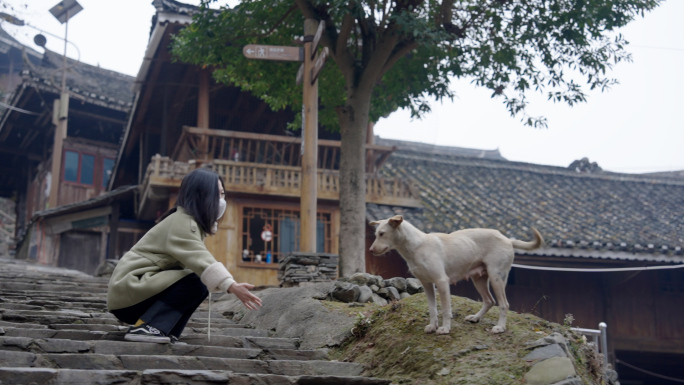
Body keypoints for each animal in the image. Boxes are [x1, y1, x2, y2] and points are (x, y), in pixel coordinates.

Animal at [372, 214, 544, 334]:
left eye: (382, 233)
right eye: (376, 234)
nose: (371, 250)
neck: (417, 247)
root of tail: (507, 239)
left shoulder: (442, 282)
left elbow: (445, 310)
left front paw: (445, 328)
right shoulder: (427, 284)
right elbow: (433, 309)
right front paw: (432, 326)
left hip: (497, 278)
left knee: (504, 304)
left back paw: (500, 327)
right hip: (478, 279)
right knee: (489, 301)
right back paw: (476, 318)